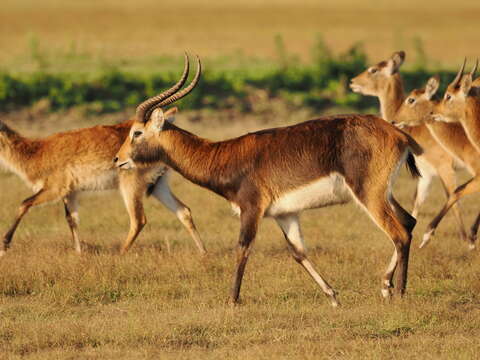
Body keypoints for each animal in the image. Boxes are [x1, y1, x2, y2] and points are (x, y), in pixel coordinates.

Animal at [348, 51, 468, 245]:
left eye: (373, 69)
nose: (353, 82)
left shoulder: (445, 169)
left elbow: (453, 197)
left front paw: (466, 240)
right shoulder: (426, 173)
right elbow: (416, 203)